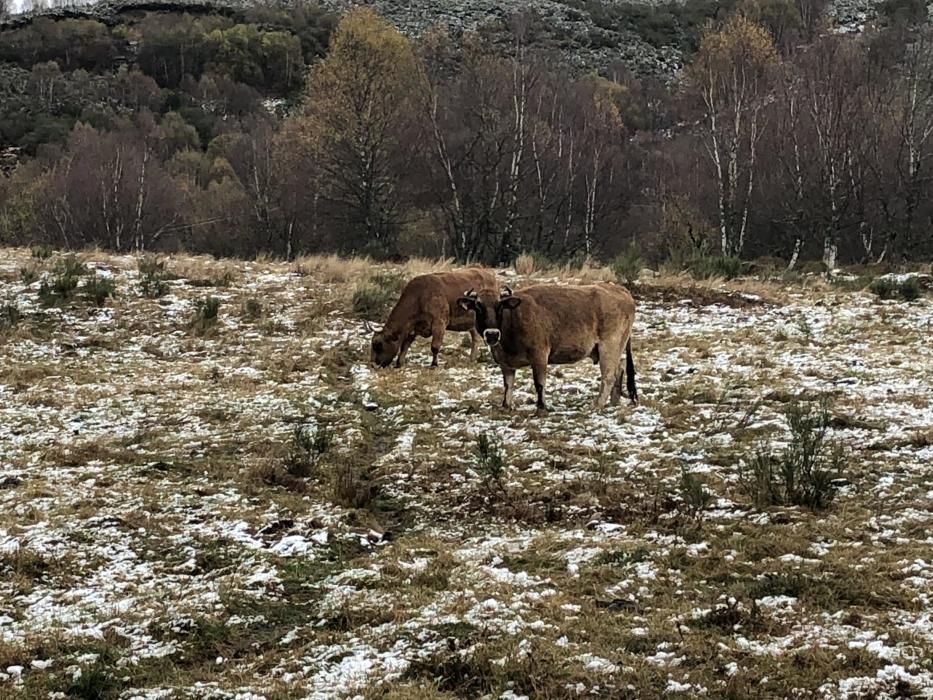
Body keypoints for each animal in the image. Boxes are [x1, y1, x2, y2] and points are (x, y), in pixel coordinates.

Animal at [366, 266, 502, 370]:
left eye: (378, 345)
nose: (373, 365)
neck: (419, 297)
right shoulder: (413, 328)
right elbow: (405, 345)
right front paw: (399, 363)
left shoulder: (439, 323)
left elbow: (435, 346)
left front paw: (434, 365)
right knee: (475, 338)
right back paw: (472, 358)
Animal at [456, 280, 636, 410]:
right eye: (478, 306)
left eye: (500, 306)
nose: (492, 334)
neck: (514, 319)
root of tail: (620, 290)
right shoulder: (505, 363)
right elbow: (508, 385)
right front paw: (506, 405)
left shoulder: (539, 356)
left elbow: (539, 383)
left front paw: (542, 406)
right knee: (619, 370)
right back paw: (613, 402)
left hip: (609, 347)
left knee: (608, 376)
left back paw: (597, 404)